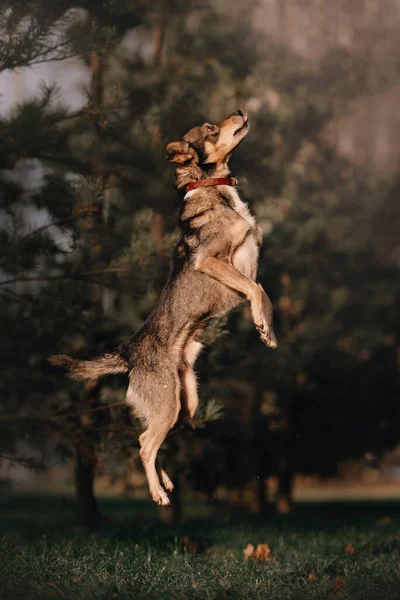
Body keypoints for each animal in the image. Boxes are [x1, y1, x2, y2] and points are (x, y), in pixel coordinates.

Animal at [50, 110, 276, 504]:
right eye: (210, 128)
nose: (240, 111)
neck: (211, 186)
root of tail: (128, 351)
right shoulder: (212, 261)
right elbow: (256, 290)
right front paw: (263, 325)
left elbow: (263, 291)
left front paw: (270, 330)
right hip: (169, 404)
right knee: (145, 445)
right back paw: (158, 493)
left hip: (183, 406)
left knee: (149, 438)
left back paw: (166, 480)